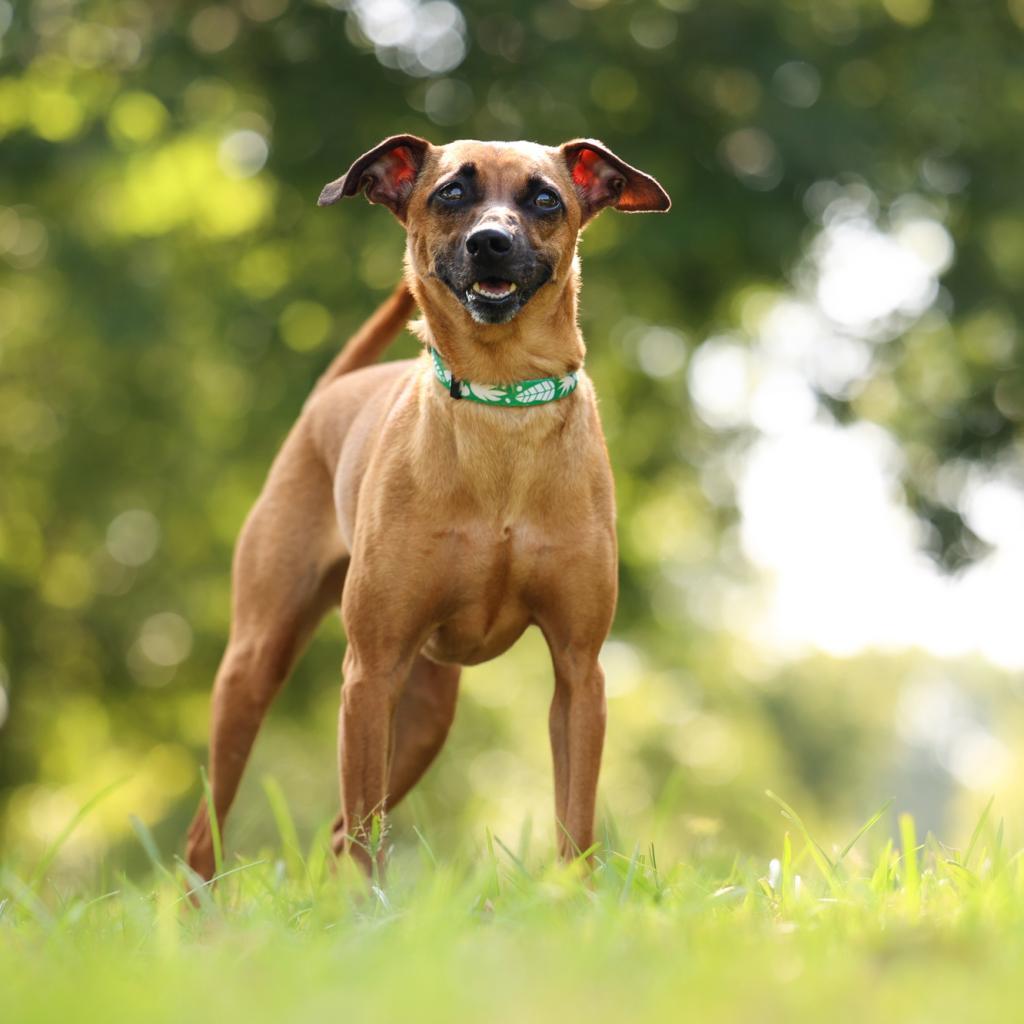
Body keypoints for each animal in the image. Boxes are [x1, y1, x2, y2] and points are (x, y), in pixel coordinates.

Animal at [185, 132, 671, 876]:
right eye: (451, 192)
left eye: (544, 198)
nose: (491, 242)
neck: (500, 403)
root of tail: (328, 395)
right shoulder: (370, 671)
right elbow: (365, 832)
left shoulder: (579, 673)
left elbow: (575, 825)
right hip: (257, 666)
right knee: (215, 832)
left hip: (424, 716)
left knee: (339, 830)